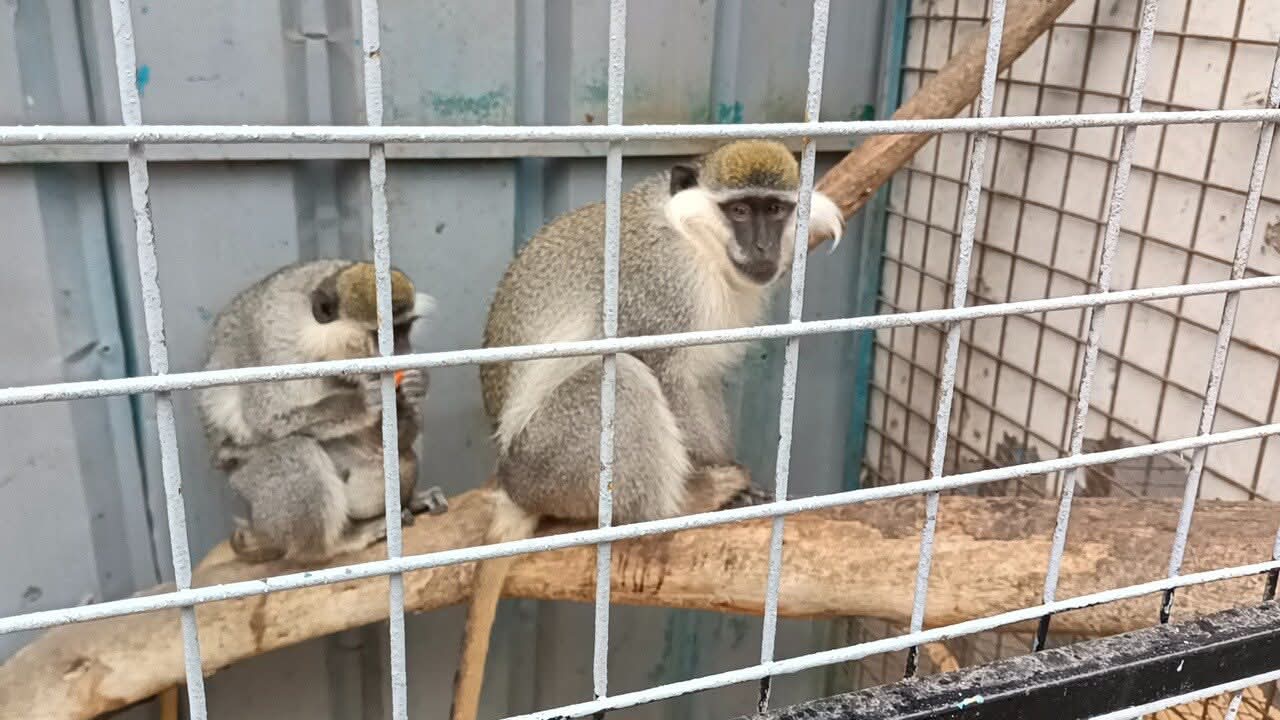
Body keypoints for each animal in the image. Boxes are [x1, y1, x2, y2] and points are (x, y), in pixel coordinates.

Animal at [195, 259, 448, 564]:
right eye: (383, 336)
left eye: (405, 330)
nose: (404, 353)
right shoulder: (276, 352)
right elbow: (267, 419)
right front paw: (360, 402)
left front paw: (416, 385)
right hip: (248, 482)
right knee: (294, 452)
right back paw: (331, 545)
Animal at [450, 140, 845, 720]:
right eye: (740, 210)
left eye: (776, 210)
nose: (762, 246)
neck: (697, 245)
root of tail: (511, 489)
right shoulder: (658, 285)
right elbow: (658, 367)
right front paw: (713, 479)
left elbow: (699, 380)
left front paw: (739, 484)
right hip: (548, 461)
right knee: (624, 380)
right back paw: (663, 515)